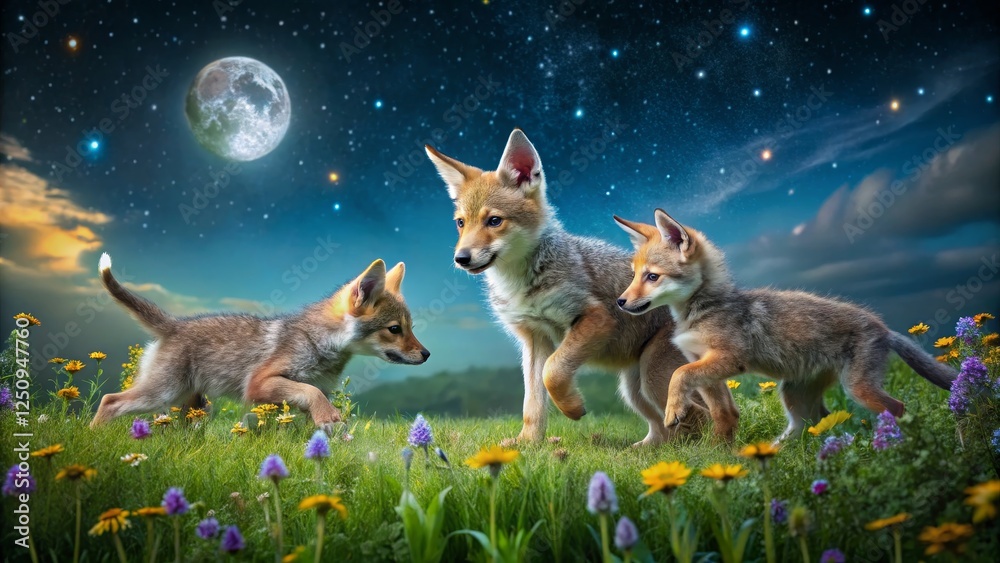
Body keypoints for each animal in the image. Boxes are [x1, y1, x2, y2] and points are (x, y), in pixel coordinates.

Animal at [90, 253, 429, 433]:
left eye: (411, 328)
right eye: (395, 329)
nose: (426, 354)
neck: (320, 343)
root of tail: (173, 324)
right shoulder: (259, 384)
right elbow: (311, 393)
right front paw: (329, 417)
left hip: (192, 405)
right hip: (160, 394)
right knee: (110, 400)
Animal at [425, 129, 739, 445]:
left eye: (494, 221)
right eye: (460, 223)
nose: (461, 258)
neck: (519, 283)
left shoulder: (596, 318)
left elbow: (553, 372)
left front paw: (572, 408)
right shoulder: (534, 337)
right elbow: (533, 401)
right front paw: (528, 443)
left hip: (654, 380)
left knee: (704, 418)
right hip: (634, 390)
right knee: (665, 429)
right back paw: (643, 450)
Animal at [613, 208, 958, 441]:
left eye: (652, 276)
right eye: (634, 275)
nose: (620, 301)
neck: (700, 312)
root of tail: (885, 329)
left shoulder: (727, 360)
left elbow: (679, 376)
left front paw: (674, 410)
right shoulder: (702, 364)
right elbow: (723, 415)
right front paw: (720, 456)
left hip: (859, 390)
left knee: (898, 408)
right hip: (794, 396)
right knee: (814, 425)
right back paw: (771, 452)